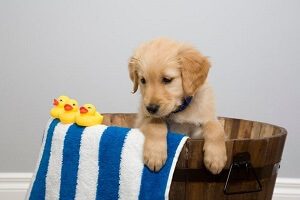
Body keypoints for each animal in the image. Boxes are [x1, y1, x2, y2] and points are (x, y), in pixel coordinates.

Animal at [127, 38, 226, 174]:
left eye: (167, 79)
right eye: (143, 80)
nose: (151, 108)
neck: (180, 110)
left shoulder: (200, 126)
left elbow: (215, 127)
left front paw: (216, 158)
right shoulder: (142, 120)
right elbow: (156, 123)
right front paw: (155, 154)